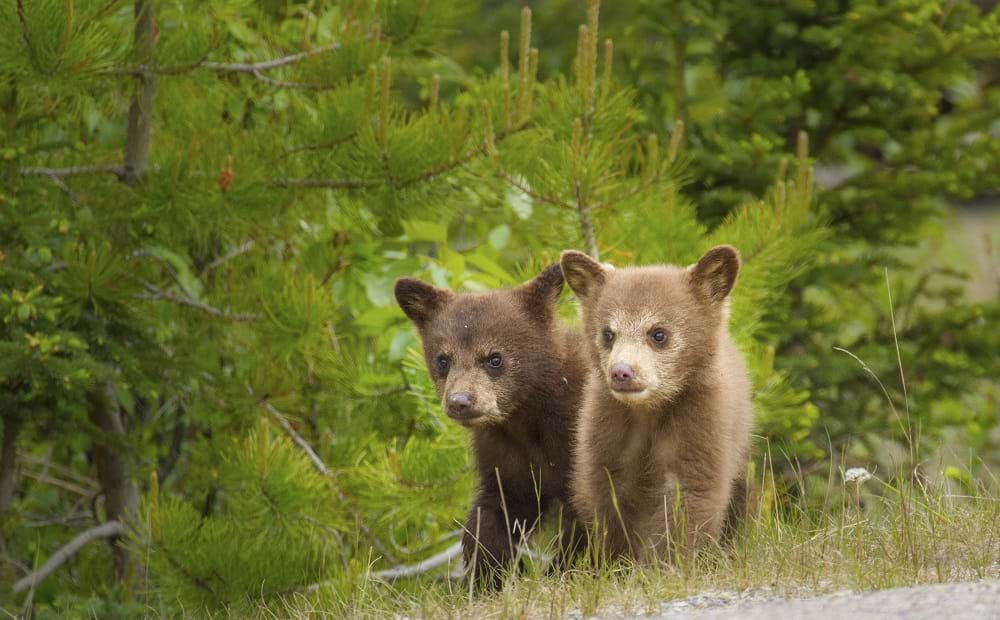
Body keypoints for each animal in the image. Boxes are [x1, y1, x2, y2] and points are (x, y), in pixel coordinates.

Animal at [394, 264, 587, 588]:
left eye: (495, 358)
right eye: (443, 359)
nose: (460, 401)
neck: (525, 419)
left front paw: (564, 572)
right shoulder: (504, 452)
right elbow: (498, 508)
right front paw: (490, 576)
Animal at [559, 245, 753, 562]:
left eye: (658, 333)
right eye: (608, 333)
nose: (621, 372)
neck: (648, 411)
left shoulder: (699, 419)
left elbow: (689, 493)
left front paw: (666, 563)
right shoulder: (606, 425)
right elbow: (606, 496)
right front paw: (617, 562)